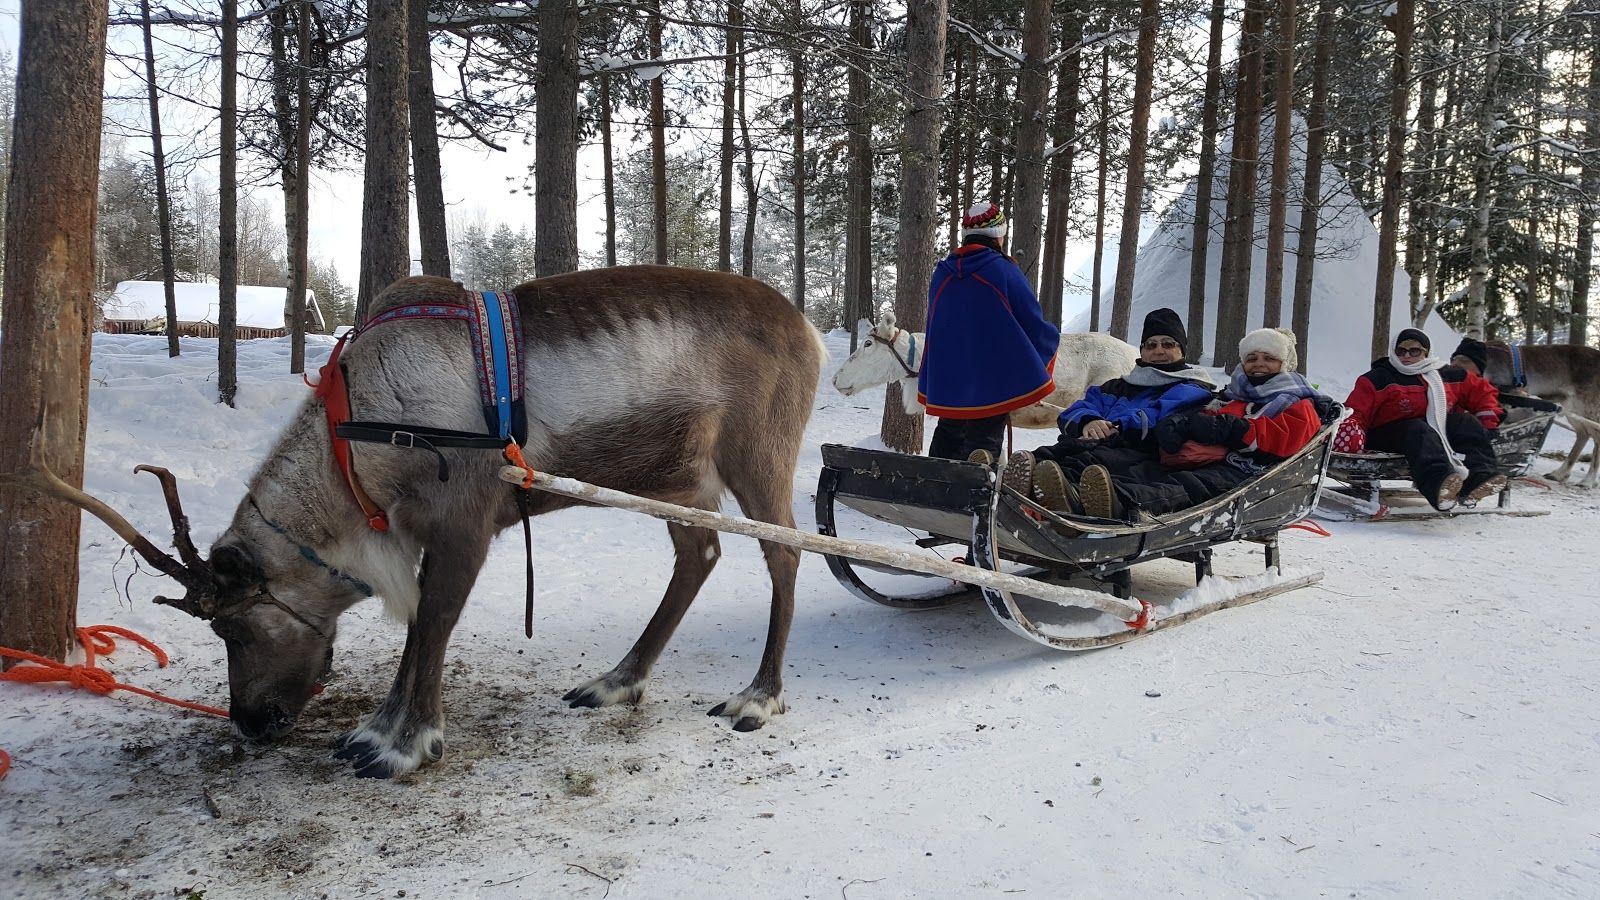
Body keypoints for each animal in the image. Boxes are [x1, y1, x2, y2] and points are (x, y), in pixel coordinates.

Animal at [1, 268, 826, 778]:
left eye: (232, 625)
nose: (250, 721)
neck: (355, 455)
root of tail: (810, 327)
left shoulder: (465, 520)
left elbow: (432, 624)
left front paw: (402, 743)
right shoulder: (418, 534)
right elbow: (416, 628)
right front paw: (374, 730)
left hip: (755, 455)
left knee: (785, 556)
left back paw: (759, 694)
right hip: (678, 477)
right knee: (699, 555)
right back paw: (616, 680)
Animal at [1483, 342, 1600, 489]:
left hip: (1587, 407)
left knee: (1595, 436)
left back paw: (1587, 481)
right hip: (1573, 408)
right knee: (1583, 433)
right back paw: (1559, 474)